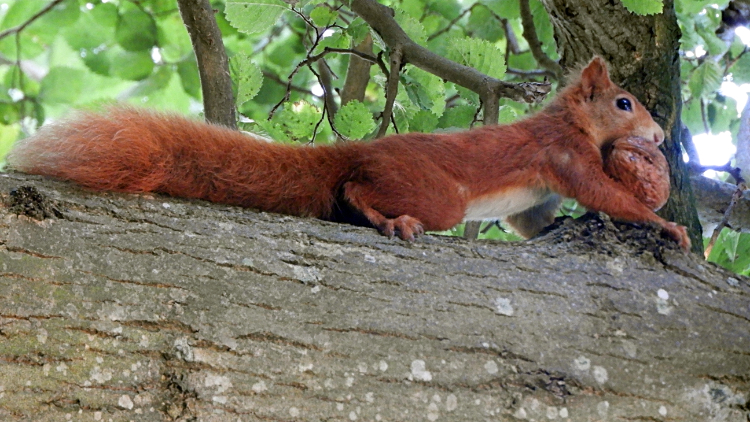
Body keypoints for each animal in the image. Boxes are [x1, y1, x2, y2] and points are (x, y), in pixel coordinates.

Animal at [4, 58, 692, 251]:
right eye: (625, 103)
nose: (660, 140)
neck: (570, 119)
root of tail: (356, 148)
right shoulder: (566, 153)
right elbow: (605, 192)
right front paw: (666, 225)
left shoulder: (539, 193)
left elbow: (532, 220)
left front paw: (564, 228)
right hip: (435, 195)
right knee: (358, 191)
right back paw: (389, 219)